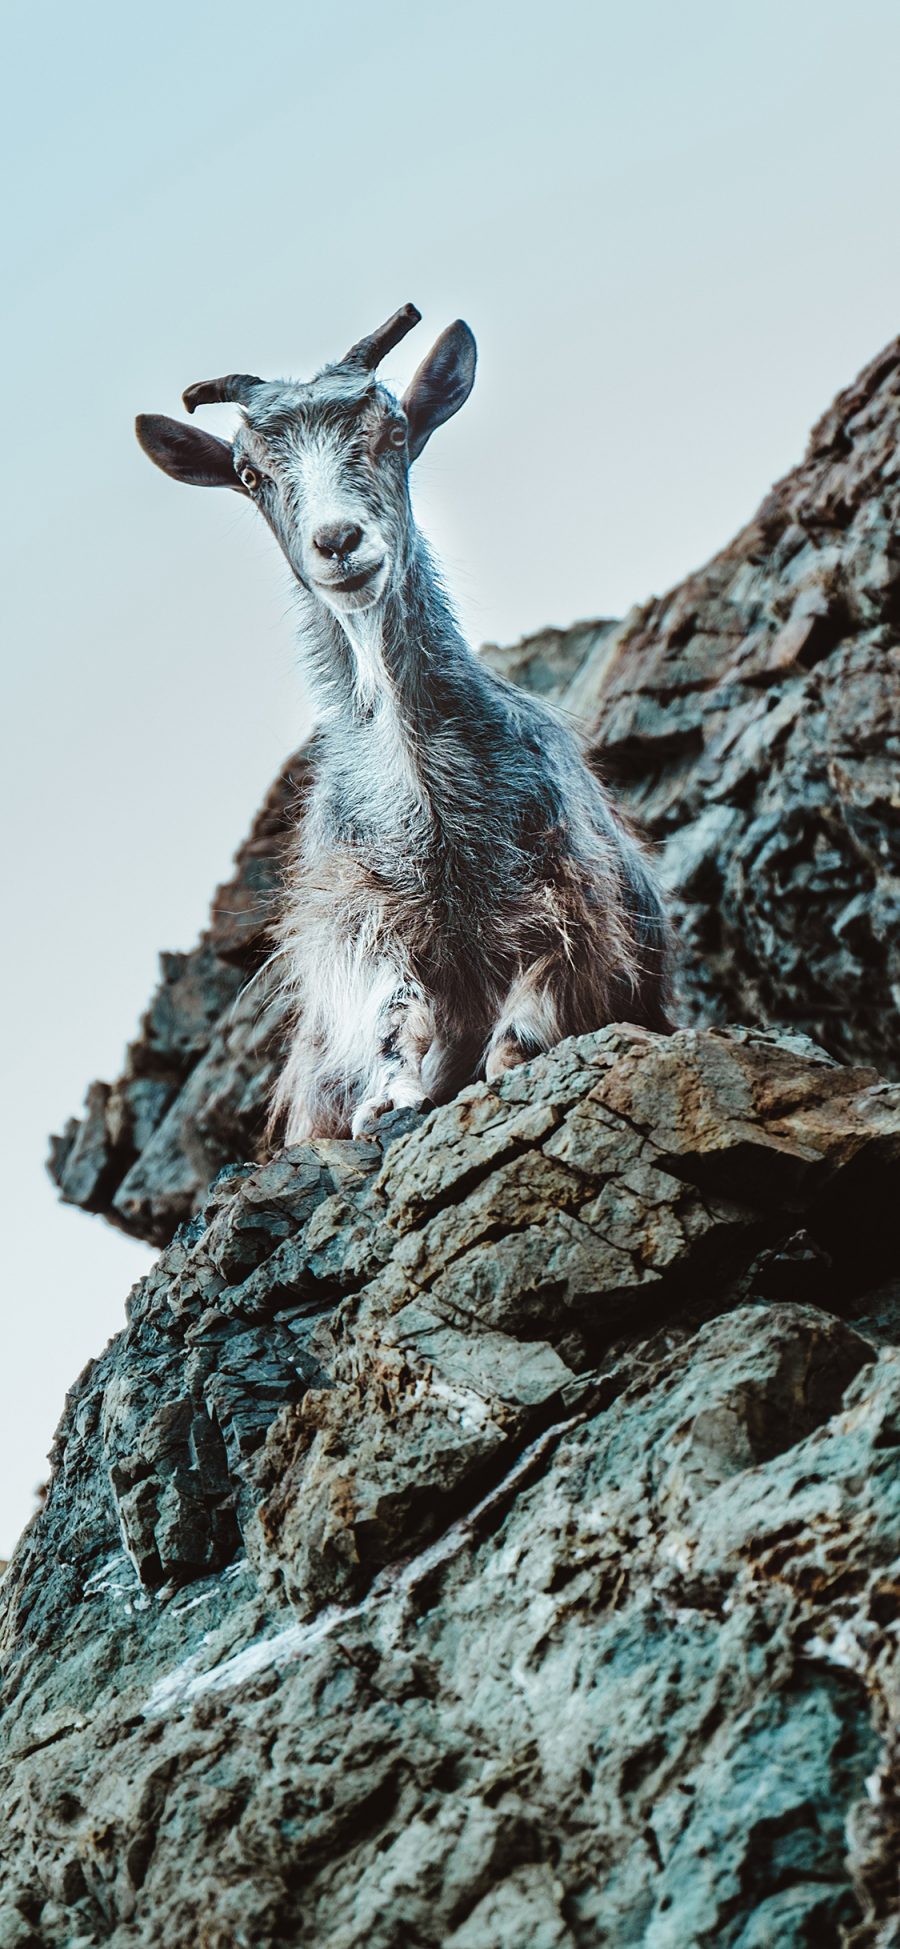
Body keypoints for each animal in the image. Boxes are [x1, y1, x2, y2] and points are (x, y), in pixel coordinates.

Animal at [133, 296, 666, 1138]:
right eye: (250, 473)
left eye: (392, 429)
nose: (338, 541)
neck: (427, 800)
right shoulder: (360, 914)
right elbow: (391, 1004)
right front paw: (388, 1094)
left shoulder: (577, 898)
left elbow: (540, 994)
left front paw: (506, 1056)